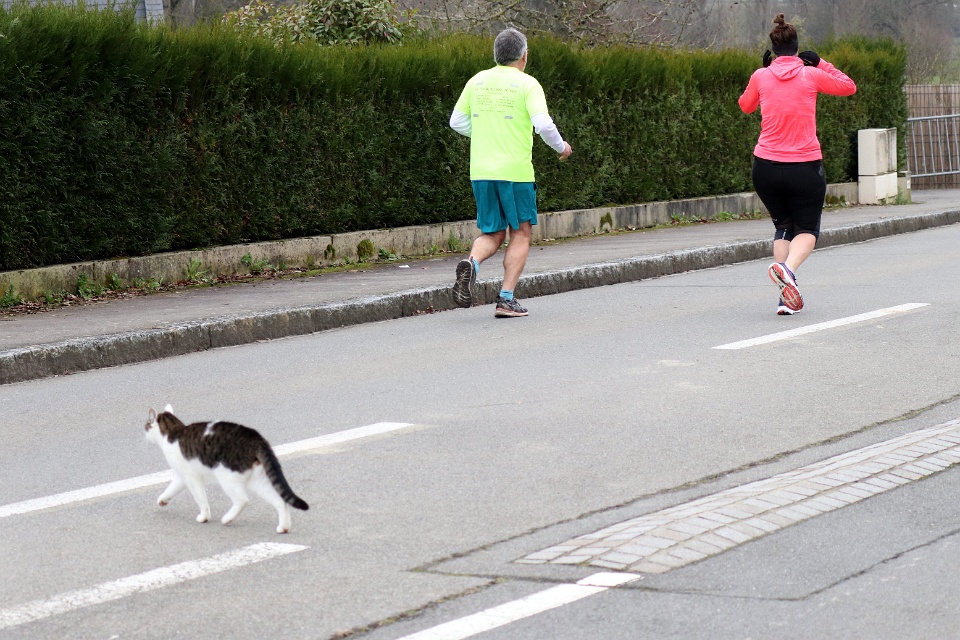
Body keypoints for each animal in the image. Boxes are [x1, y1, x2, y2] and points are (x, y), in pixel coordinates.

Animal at [145, 405, 309, 534]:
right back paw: (284, 527)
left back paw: (227, 519)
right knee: (280, 500)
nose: (144, 430)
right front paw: (162, 500)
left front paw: (204, 517)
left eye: (146, 424)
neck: (173, 432)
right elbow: (172, 488)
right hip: (256, 481)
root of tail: (256, 438)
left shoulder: (192, 477)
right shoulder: (181, 476)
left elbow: (200, 498)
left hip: (226, 476)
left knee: (243, 500)